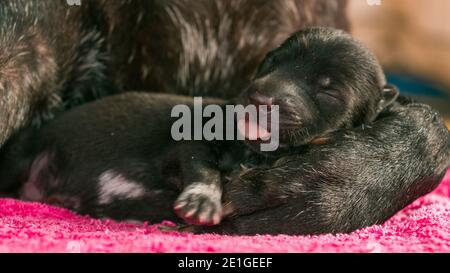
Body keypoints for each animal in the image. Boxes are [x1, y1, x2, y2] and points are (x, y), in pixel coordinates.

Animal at [0, 28, 414, 230]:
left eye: (327, 89)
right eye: (272, 62)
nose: (260, 96)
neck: (253, 151)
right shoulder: (194, 138)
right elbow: (204, 167)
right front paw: (201, 199)